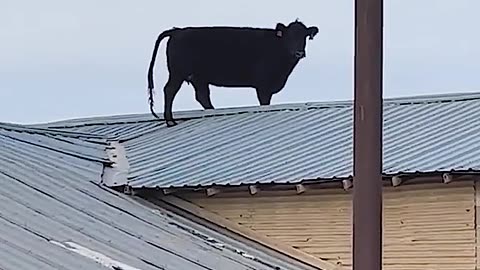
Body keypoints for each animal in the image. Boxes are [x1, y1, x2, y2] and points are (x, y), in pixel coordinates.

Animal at [146, 19, 318, 126]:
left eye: (304, 36)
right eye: (290, 36)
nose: (299, 52)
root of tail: (177, 31)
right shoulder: (263, 85)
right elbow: (264, 103)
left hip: (198, 78)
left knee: (202, 96)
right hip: (178, 72)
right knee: (170, 90)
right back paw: (170, 121)